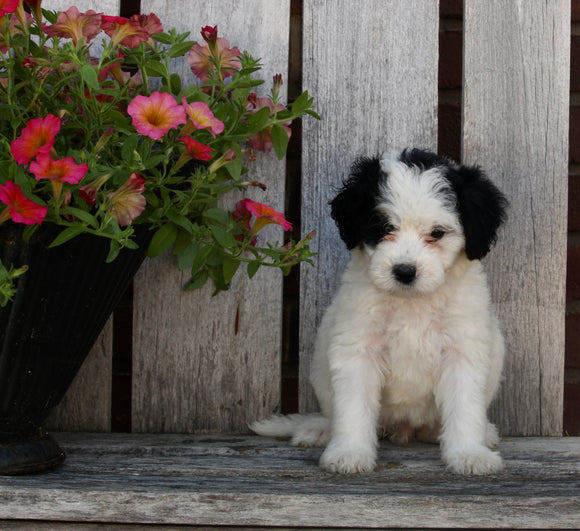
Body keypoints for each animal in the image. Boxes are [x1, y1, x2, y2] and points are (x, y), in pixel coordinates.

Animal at [251, 150, 506, 478]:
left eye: (436, 233)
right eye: (384, 228)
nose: (405, 271)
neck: (411, 303)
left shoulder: (462, 350)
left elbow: (464, 408)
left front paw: (469, 454)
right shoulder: (358, 349)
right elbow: (353, 407)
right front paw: (349, 452)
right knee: (334, 413)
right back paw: (320, 430)